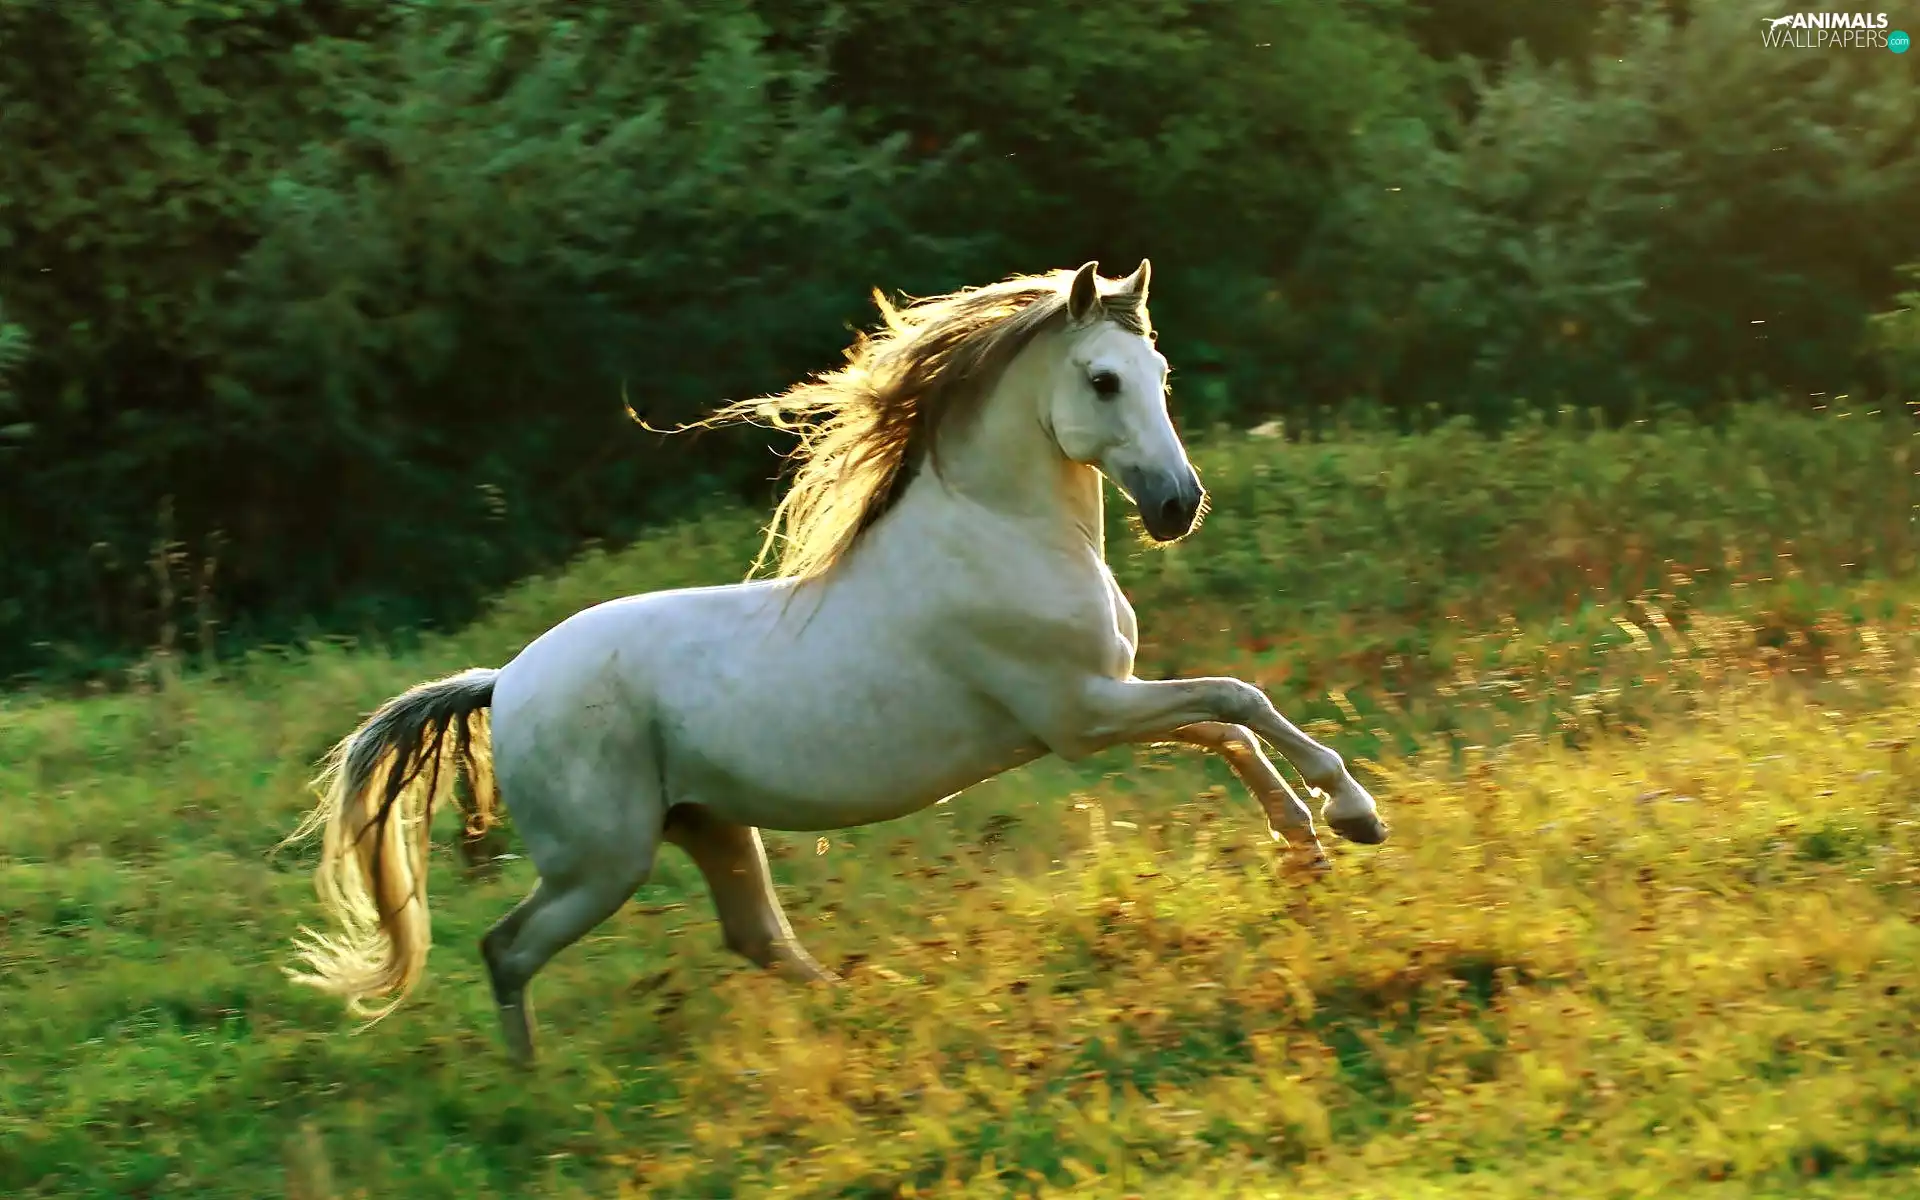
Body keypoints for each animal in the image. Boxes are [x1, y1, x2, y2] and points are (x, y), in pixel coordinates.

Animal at [279, 260, 1389, 1067]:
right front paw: (1352, 812)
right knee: (507, 950)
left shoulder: (1103, 703)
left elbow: (1228, 726)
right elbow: (1238, 699)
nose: (1177, 506)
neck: (1000, 534)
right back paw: (533, 1086)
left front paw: (1309, 842)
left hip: (707, 827)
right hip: (602, 862)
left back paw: (865, 1014)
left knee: (755, 938)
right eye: (1103, 380)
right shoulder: (1081, 714)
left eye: (1159, 378)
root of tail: (502, 682)